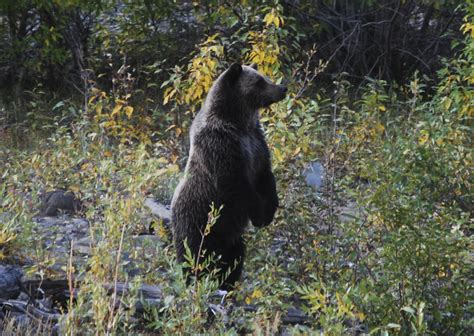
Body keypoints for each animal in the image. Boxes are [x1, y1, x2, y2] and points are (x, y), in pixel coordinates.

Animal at [172, 63, 286, 288]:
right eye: (260, 81)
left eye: (264, 77)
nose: (282, 88)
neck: (238, 121)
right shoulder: (221, 145)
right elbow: (237, 184)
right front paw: (259, 214)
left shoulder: (256, 142)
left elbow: (265, 175)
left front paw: (269, 211)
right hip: (197, 223)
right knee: (196, 257)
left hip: (231, 237)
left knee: (233, 259)